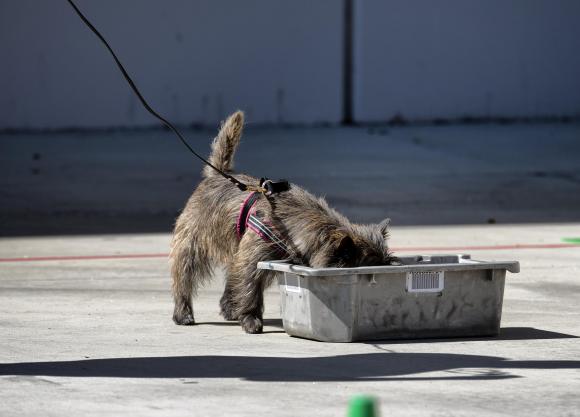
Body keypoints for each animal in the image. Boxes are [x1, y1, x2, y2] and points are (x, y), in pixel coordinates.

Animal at [169, 110, 394, 332]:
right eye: (370, 267)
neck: (287, 227)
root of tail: (216, 174)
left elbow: (242, 280)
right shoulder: (252, 258)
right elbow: (249, 285)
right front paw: (250, 319)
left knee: (231, 277)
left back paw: (229, 308)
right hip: (191, 244)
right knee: (184, 276)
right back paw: (183, 313)